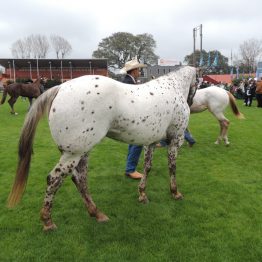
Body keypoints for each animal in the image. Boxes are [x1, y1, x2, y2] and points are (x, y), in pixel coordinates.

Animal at [7, 66, 196, 231]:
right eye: (198, 82)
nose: (191, 102)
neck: (173, 88)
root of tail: (60, 88)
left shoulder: (151, 143)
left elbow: (147, 168)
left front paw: (142, 194)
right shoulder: (176, 139)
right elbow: (172, 167)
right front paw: (175, 193)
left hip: (79, 152)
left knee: (79, 179)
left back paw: (96, 213)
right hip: (74, 153)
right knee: (54, 179)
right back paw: (48, 221)